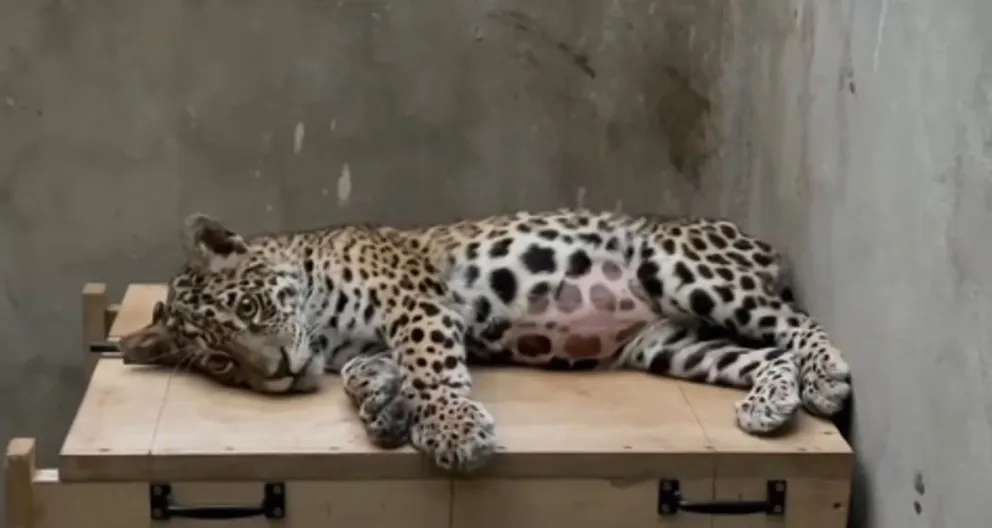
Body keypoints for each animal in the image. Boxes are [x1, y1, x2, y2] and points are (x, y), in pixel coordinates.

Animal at [117, 208, 852, 474]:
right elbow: (368, 372)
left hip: (675, 264)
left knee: (797, 323)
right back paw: (771, 405)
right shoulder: (365, 343)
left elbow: (429, 364)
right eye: (220, 360)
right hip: (672, 343)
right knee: (768, 353)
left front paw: (450, 430)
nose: (275, 372)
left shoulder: (415, 299)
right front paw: (384, 407)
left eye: (248, 306)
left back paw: (827, 378)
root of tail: (759, 243)